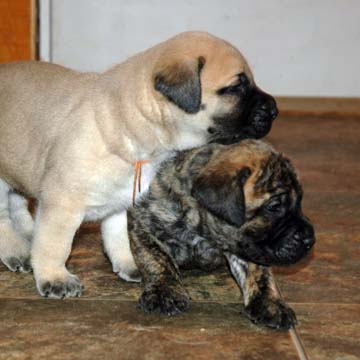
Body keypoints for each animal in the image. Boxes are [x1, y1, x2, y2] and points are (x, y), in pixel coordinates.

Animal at [127, 140, 316, 330]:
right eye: (274, 207)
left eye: (299, 202)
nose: (310, 240)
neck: (203, 231)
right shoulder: (143, 220)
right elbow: (155, 258)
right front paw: (164, 291)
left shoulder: (248, 246)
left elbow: (260, 274)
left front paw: (270, 303)